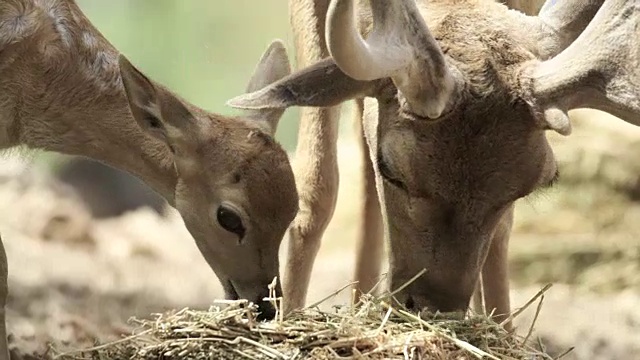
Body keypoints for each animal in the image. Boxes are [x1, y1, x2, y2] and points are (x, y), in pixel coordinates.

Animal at [228, 0, 636, 330]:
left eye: (539, 182)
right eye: (392, 169)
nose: (432, 307)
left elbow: (503, 230)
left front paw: (503, 332)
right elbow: (318, 183)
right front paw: (289, 317)